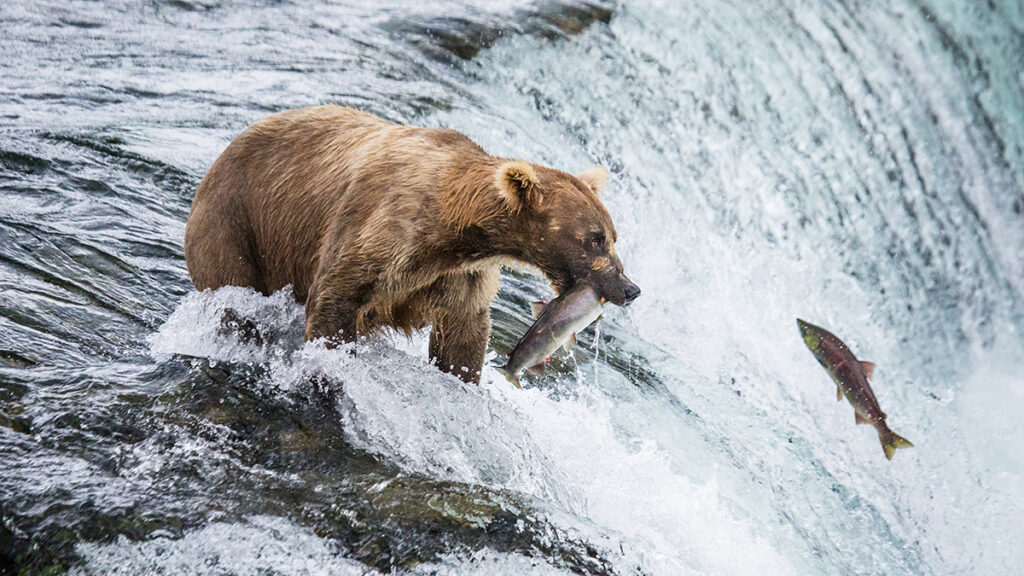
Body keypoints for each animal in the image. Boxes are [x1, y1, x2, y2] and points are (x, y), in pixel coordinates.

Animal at [180, 104, 634, 381]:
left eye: (613, 237)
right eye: (594, 239)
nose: (630, 288)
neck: (454, 228)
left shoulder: (460, 275)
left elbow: (462, 335)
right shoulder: (381, 230)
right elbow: (336, 296)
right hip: (234, 226)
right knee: (235, 299)